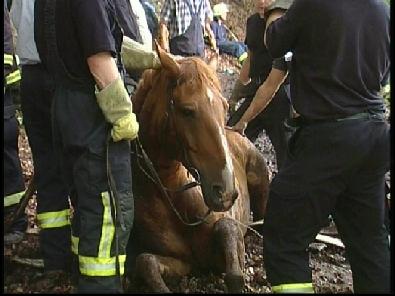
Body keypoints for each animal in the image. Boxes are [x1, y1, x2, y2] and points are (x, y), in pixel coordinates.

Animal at [128, 46, 270, 294]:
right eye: (187, 111)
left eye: (224, 106)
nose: (226, 191)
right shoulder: (184, 261)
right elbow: (146, 262)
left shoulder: (226, 238)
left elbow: (227, 234)